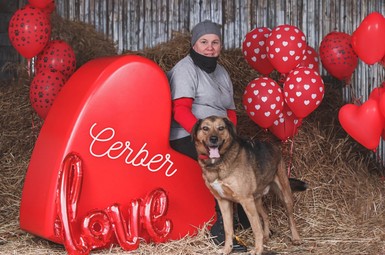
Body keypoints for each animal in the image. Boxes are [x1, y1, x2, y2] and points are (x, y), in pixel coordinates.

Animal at [190, 116, 304, 255]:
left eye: (221, 128)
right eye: (205, 128)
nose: (213, 139)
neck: (217, 164)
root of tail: (273, 145)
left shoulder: (246, 200)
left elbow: (256, 228)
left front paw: (258, 250)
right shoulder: (223, 201)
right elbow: (228, 230)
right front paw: (227, 249)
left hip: (284, 195)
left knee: (290, 218)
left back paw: (296, 238)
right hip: (256, 201)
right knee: (265, 216)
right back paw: (266, 235)